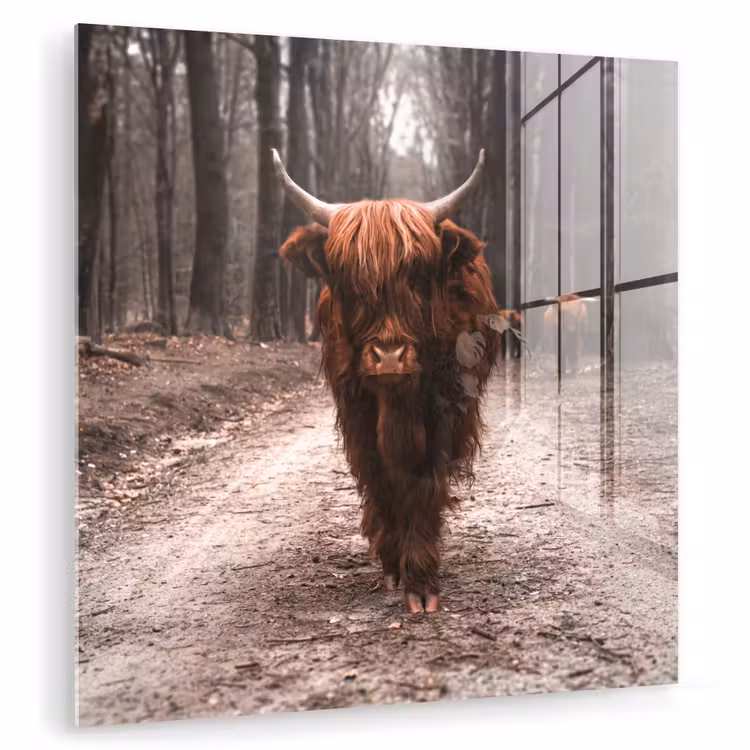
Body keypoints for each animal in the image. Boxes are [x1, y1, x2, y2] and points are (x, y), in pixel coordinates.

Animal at [273, 148, 502, 613]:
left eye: (418, 276)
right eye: (348, 281)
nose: (390, 358)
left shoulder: (444, 413)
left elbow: (423, 482)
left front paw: (421, 580)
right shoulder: (355, 412)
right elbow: (379, 478)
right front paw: (395, 565)